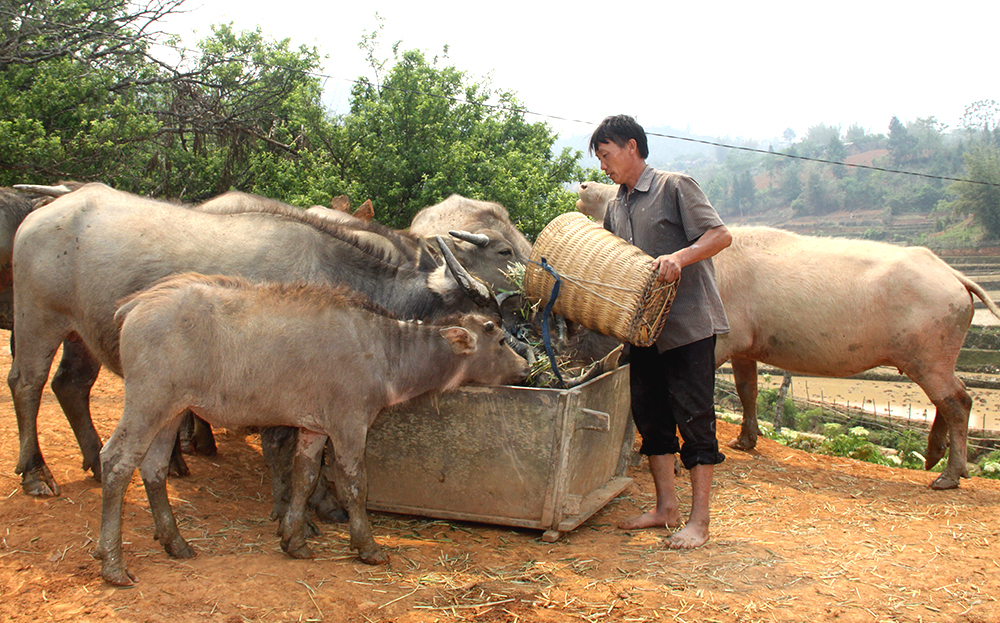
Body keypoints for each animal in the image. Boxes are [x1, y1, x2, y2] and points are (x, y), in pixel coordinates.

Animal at [4, 182, 496, 498]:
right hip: (37, 318)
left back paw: (92, 458)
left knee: (71, 385)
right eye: (485, 322)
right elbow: (291, 448)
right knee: (26, 384)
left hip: (81, 332)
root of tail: (46, 210)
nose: (514, 357)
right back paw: (36, 473)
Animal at [95, 272, 532, 584]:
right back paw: (113, 564)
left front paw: (294, 540)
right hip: (148, 401)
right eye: (497, 337)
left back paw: (176, 542)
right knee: (116, 461)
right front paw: (368, 547)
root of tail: (136, 304)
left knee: (153, 467)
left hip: (171, 411)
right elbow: (354, 484)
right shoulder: (349, 425)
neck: (384, 350)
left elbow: (303, 477)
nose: (525, 368)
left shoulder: (314, 429)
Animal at [576, 180, 996, 488]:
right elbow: (747, 389)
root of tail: (954, 275)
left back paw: (948, 477)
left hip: (929, 352)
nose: (584, 184)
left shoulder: (721, 340)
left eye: (617, 196)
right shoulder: (745, 345)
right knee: (948, 399)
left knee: (959, 401)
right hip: (933, 356)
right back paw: (933, 459)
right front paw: (744, 442)